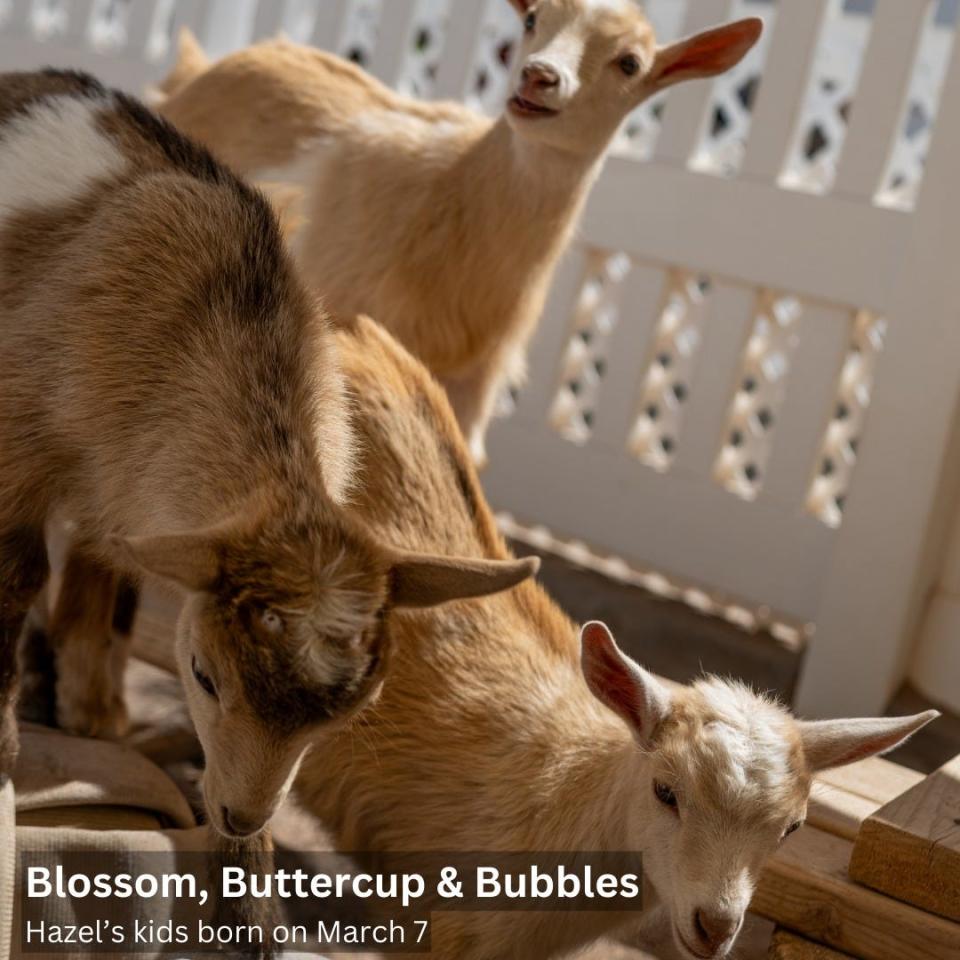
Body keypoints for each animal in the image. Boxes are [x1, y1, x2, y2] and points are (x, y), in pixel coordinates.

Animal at [0, 69, 536, 832]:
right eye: (202, 674)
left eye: (350, 711)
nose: (240, 818)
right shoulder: (21, 444)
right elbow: (18, 575)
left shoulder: (130, 497)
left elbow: (110, 579)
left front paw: (93, 719)